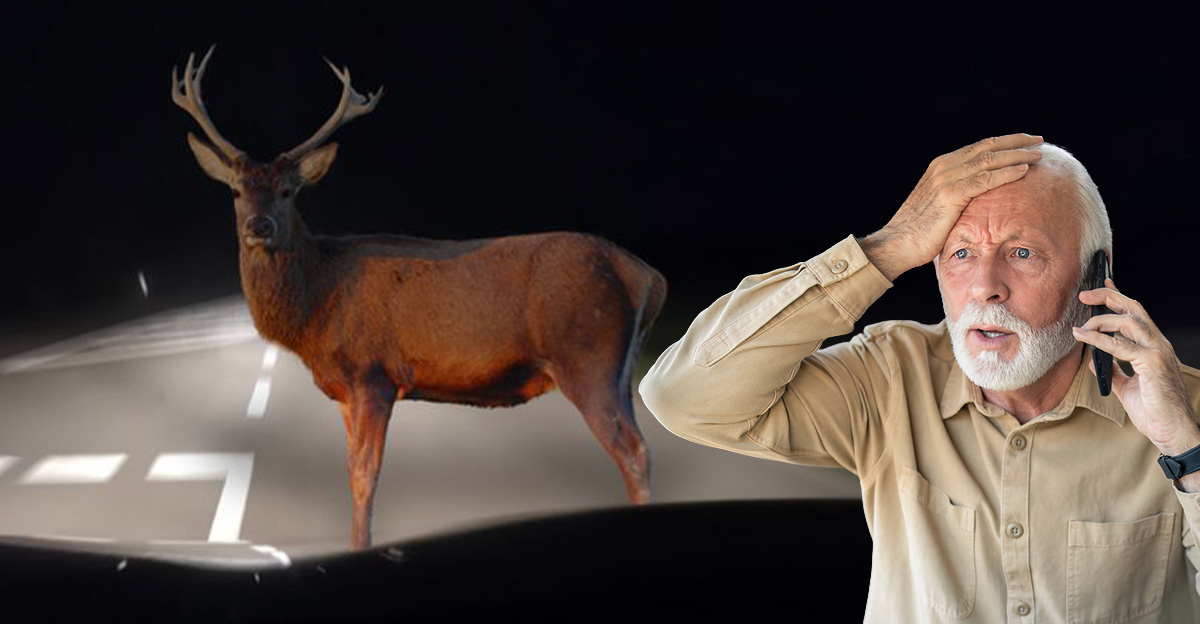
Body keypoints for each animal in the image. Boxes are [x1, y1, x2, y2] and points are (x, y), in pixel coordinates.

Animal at [171, 47, 667, 550]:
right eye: (236, 190)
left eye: (289, 191)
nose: (260, 226)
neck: (316, 304)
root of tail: (646, 276)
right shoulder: (345, 390)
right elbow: (350, 471)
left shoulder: (373, 373)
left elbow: (365, 476)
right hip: (619, 368)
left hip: (587, 354)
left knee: (634, 451)